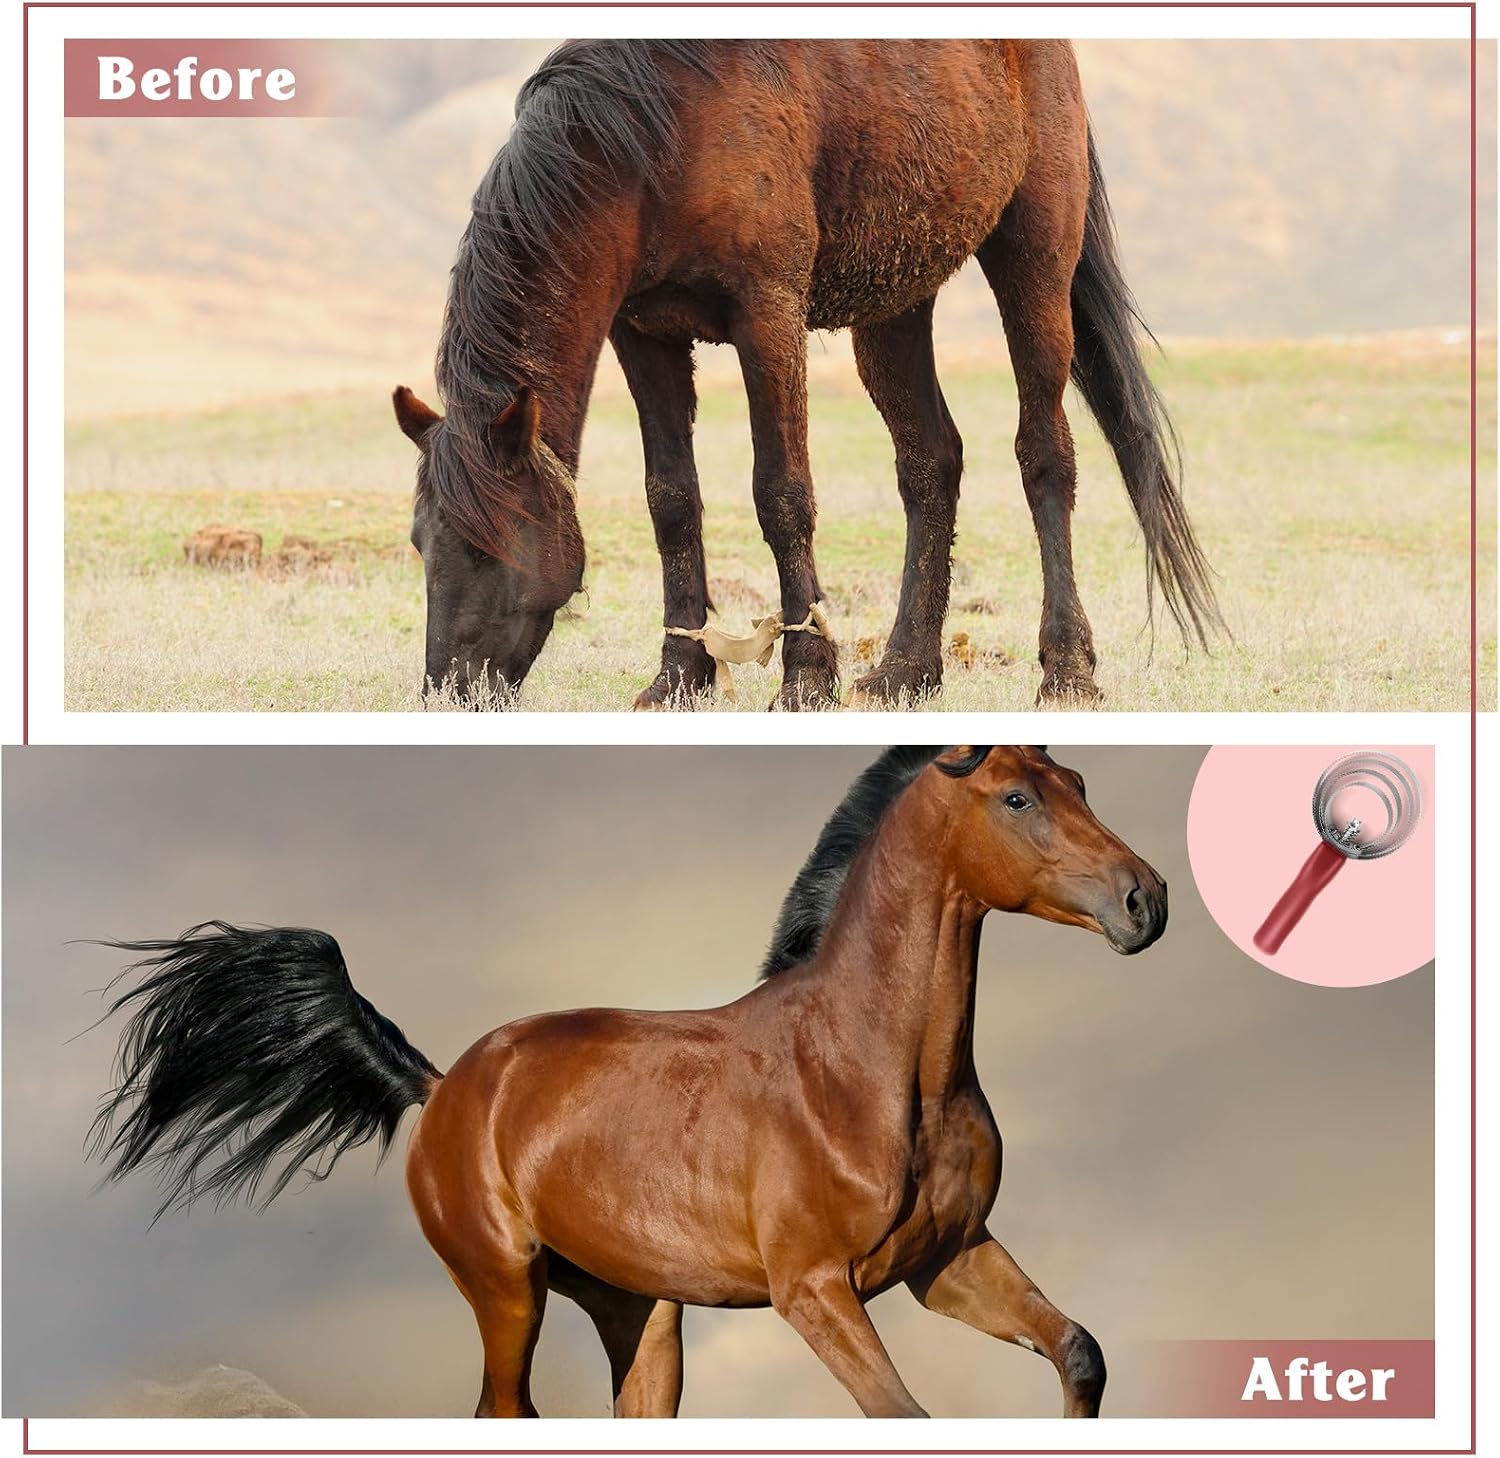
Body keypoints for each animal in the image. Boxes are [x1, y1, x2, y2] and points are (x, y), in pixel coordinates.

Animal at [91, 746, 1167, 1418]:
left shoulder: (945, 1263)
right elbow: (905, 1414)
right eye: (1017, 798)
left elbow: (1080, 1349)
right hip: (506, 1290)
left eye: (1076, 778)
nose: (1144, 900)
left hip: (637, 1312)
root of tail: (444, 1086)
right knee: (505, 1409)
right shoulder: (815, 1291)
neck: (867, 1071)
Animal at [392, 41, 1222, 710]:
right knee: (930, 463)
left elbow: (782, 495)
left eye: (489, 544)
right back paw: (905, 671)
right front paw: (679, 675)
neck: (651, 140)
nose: (450, 692)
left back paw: (1067, 671)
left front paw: (806, 675)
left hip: (1035, 260)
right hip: (896, 301)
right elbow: (672, 501)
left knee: (1045, 453)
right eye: (420, 542)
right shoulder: (645, 332)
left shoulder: (769, 313)